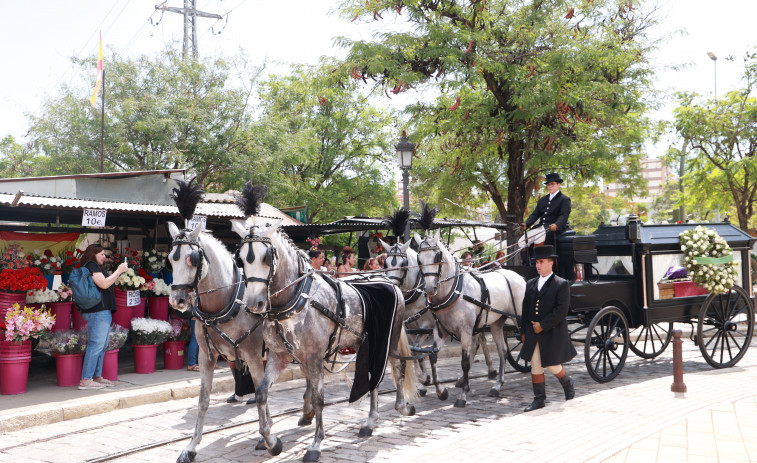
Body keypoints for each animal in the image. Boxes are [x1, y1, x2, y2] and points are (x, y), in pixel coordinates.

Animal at [232, 219, 420, 462]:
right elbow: (261, 393)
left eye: (266, 257)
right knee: (373, 377)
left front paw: (315, 444)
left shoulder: (314, 357)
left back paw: (398, 408)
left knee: (397, 366)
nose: (254, 304)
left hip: (389, 339)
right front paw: (271, 442)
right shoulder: (280, 356)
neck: (297, 299)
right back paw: (370, 421)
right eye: (241, 258)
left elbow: (319, 399)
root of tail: (390, 281)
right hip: (364, 343)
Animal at [414, 234, 524, 408]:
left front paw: (463, 395)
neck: (454, 291)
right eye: (419, 259)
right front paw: (441, 391)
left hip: (519, 319)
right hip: (496, 323)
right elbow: (432, 357)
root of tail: (518, 277)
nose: (430, 289)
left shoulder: (466, 331)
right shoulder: (441, 331)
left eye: (437, 257)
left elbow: (465, 363)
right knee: (503, 351)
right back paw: (497, 386)